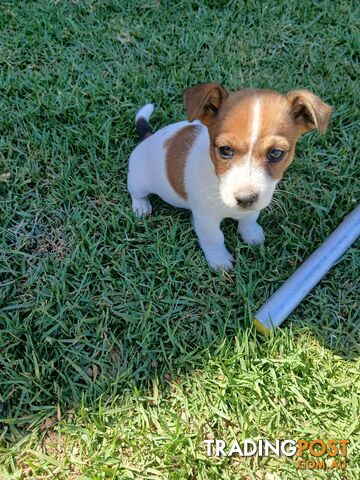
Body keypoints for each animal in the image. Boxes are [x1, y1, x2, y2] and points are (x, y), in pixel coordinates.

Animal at [127, 83, 332, 270]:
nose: (245, 199)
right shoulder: (206, 219)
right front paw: (219, 260)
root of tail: (148, 137)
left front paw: (250, 233)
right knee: (136, 193)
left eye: (275, 153)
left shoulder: (254, 205)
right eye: (225, 150)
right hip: (138, 180)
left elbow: (249, 219)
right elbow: (214, 238)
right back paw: (141, 206)